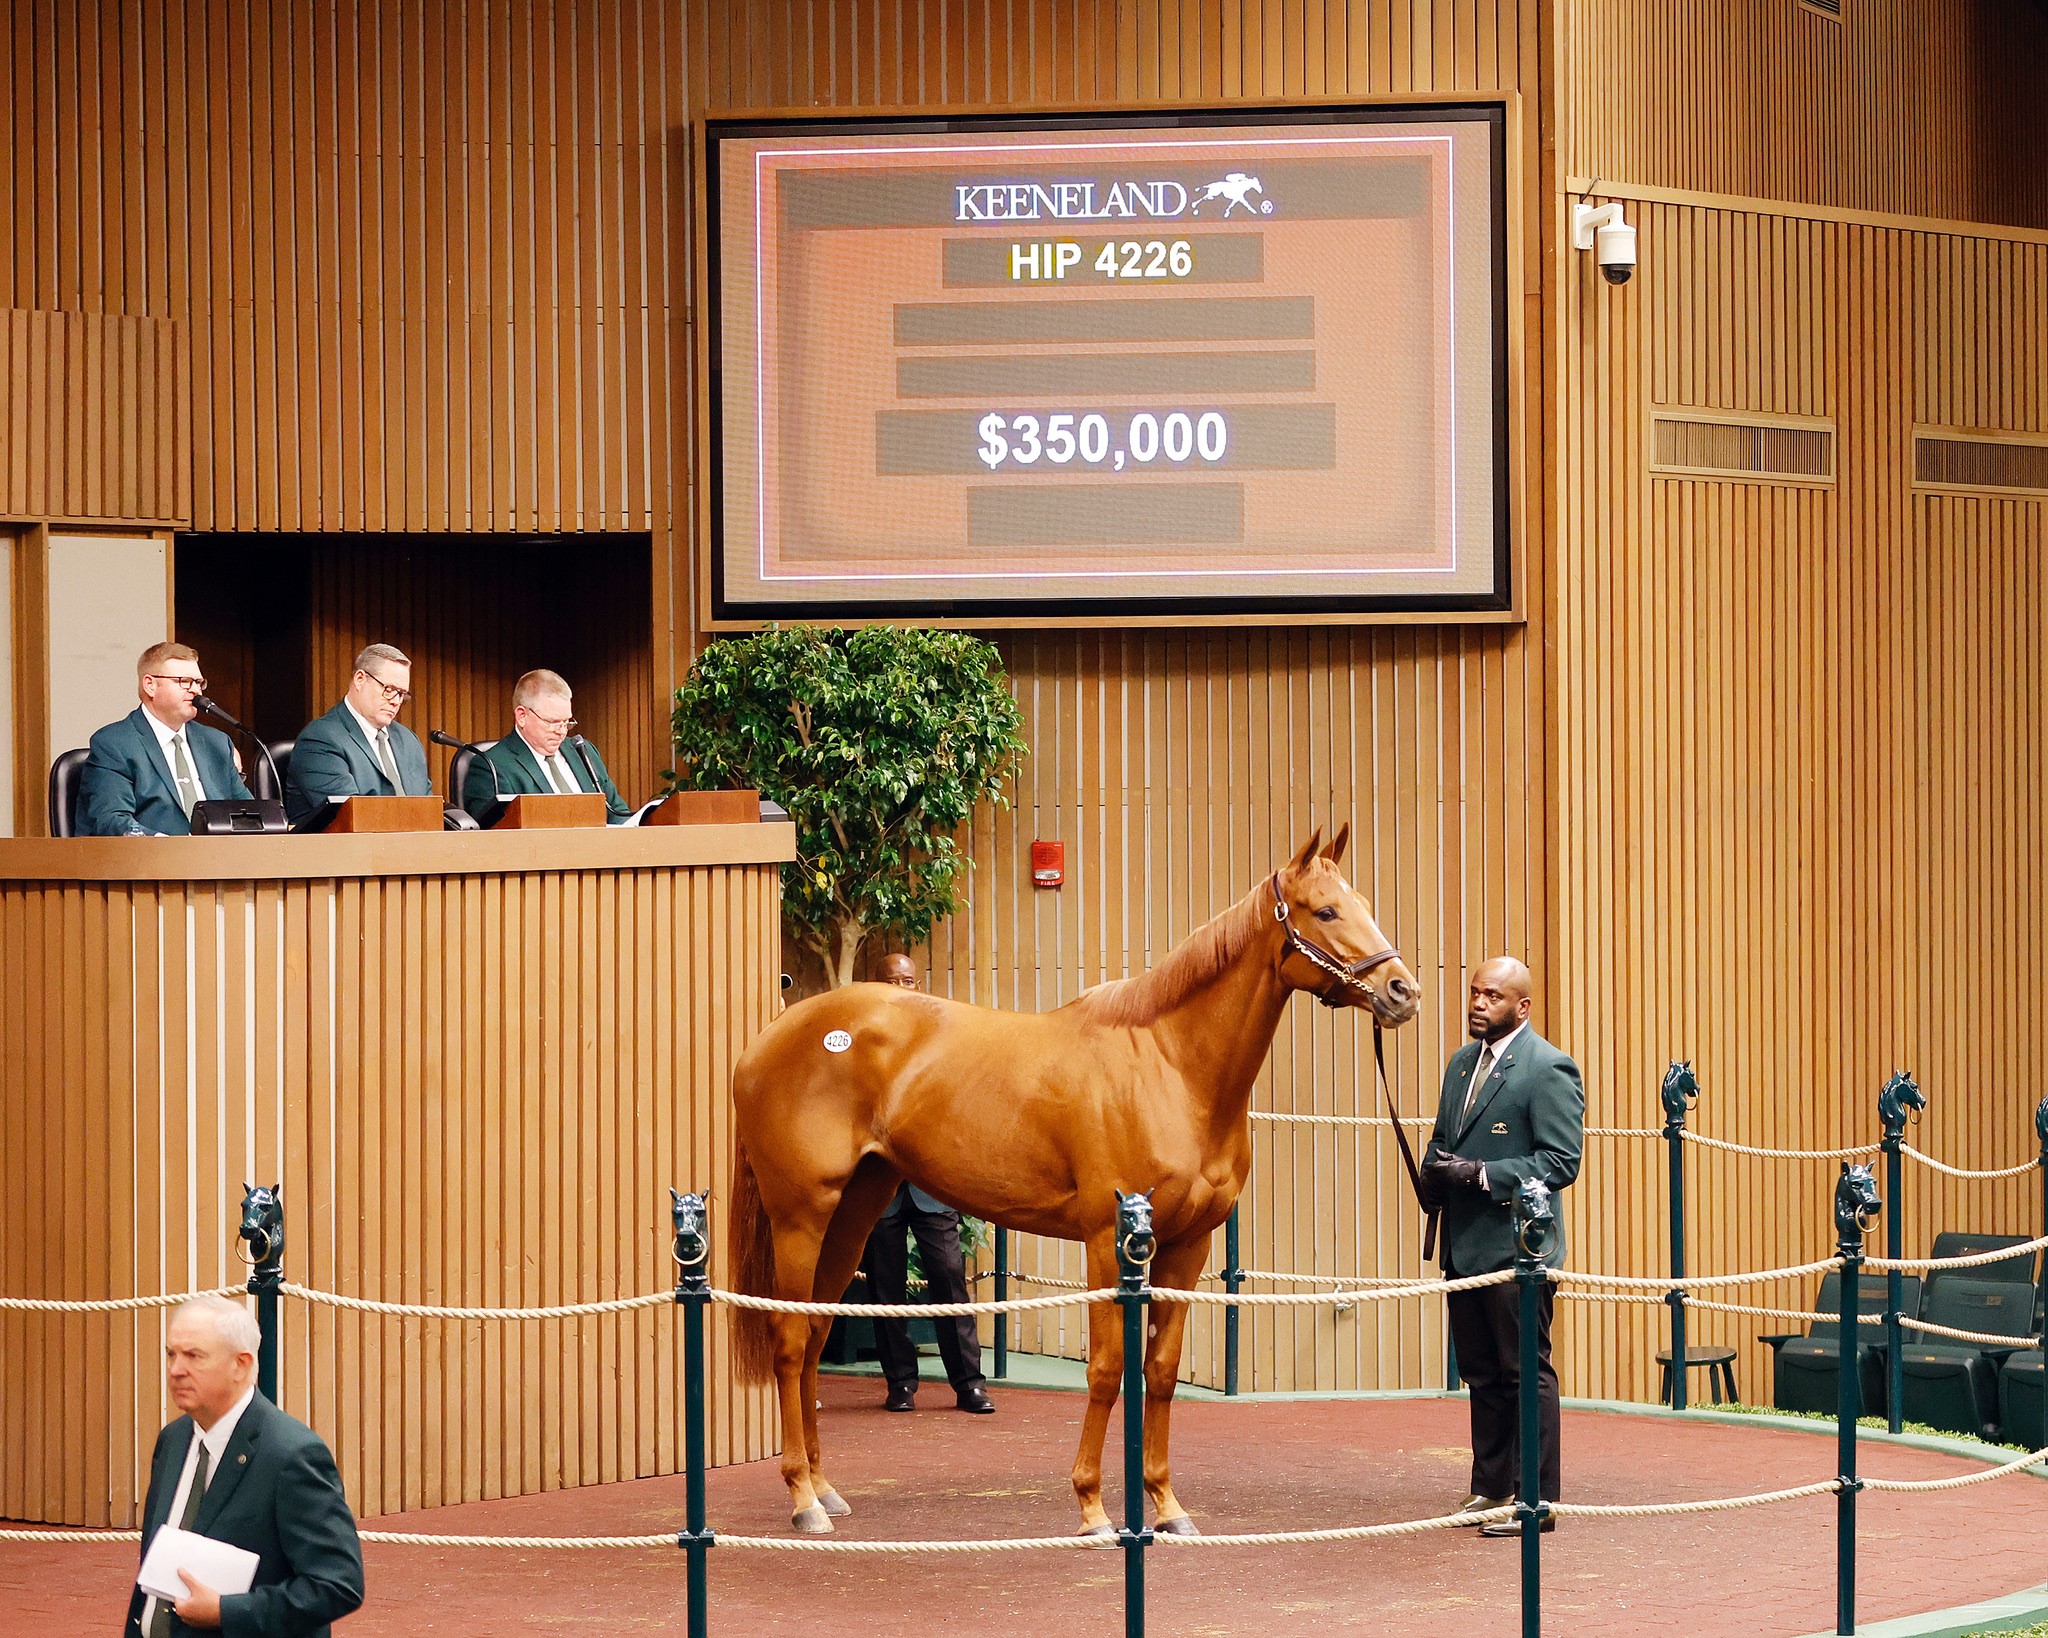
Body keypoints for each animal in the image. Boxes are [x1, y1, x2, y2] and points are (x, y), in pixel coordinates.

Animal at [729, 831, 1417, 1539]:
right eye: (1326, 911)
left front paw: (1167, 1507)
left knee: (814, 1335)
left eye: (1364, 904)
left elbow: (1160, 1372)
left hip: (853, 1214)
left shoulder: (1188, 1246)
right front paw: (1092, 1509)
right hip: (801, 1217)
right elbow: (1108, 1370)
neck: (1169, 1065)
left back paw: (824, 1487)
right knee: (789, 1342)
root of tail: (768, 1038)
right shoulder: (1106, 1240)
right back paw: (803, 1500)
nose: (1402, 990)